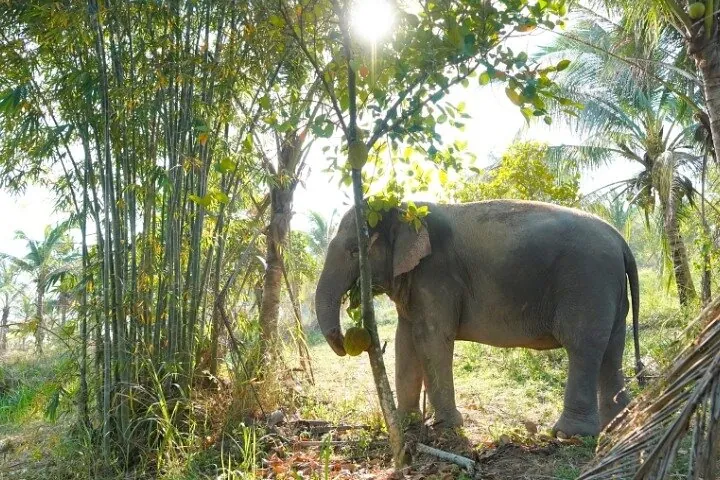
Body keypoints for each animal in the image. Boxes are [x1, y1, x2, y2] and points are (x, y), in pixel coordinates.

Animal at [314, 199, 642, 437]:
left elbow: (431, 338)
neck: (404, 206)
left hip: (587, 282)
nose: (346, 340)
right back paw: (618, 426)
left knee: (583, 347)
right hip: (608, 289)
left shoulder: (437, 274)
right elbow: (404, 340)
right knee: (611, 350)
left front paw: (446, 426)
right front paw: (407, 423)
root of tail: (621, 241)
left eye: (354, 251)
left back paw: (569, 434)